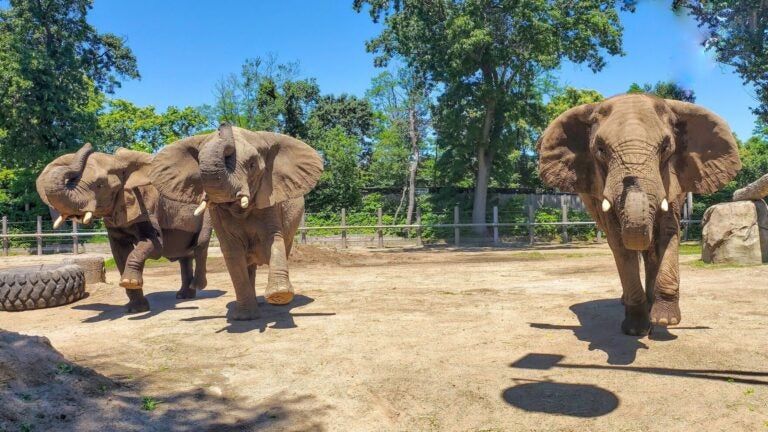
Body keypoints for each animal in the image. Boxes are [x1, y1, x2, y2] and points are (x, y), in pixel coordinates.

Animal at [36, 143, 212, 313]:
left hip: (206, 211)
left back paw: (196, 287)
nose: (89, 145)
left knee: (200, 245)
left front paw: (129, 282)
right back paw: (184, 295)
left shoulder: (147, 206)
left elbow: (155, 246)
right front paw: (136, 309)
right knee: (184, 255)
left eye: (100, 185)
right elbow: (120, 251)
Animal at [149, 124, 323, 320]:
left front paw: (279, 295)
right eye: (199, 164)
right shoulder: (217, 215)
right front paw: (245, 318)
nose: (223, 125)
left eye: (252, 165)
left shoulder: (269, 196)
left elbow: (273, 239)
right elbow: (232, 252)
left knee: (284, 247)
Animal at [538, 94, 740, 336]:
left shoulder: (671, 183)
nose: (630, 179)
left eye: (665, 147)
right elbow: (620, 243)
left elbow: (668, 233)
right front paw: (635, 330)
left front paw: (665, 320)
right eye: (600, 149)